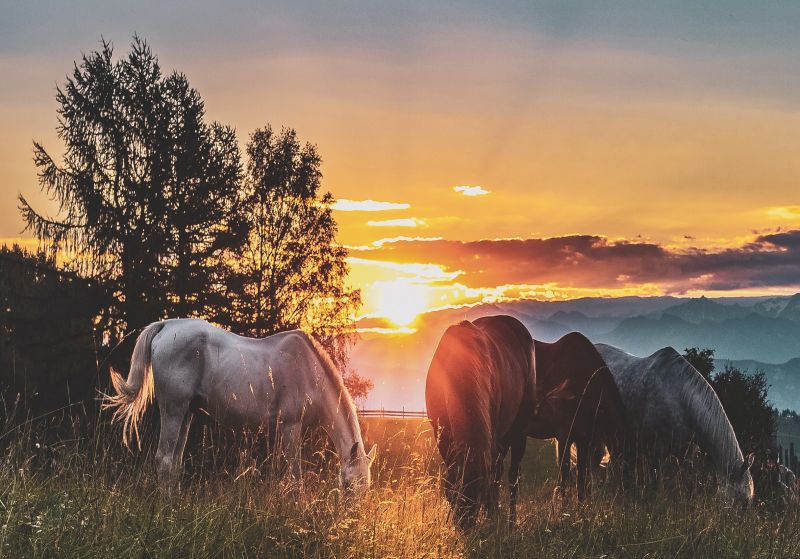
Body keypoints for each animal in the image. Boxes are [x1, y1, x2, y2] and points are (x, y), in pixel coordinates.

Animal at [104, 320, 376, 494]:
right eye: (349, 487)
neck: (309, 370)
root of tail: (166, 326)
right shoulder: (290, 427)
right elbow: (295, 477)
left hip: (187, 413)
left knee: (174, 463)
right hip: (173, 409)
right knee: (164, 460)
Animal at [424, 316, 536, 528]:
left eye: (477, 497)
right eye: (452, 496)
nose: (465, 528)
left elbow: (493, 478)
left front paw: (492, 515)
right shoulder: (442, 434)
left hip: (519, 431)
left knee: (511, 476)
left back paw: (509, 521)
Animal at [592, 344, 756, 506]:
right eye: (741, 498)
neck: (680, 398)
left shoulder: (685, 454)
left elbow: (688, 484)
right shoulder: (655, 451)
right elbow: (655, 482)